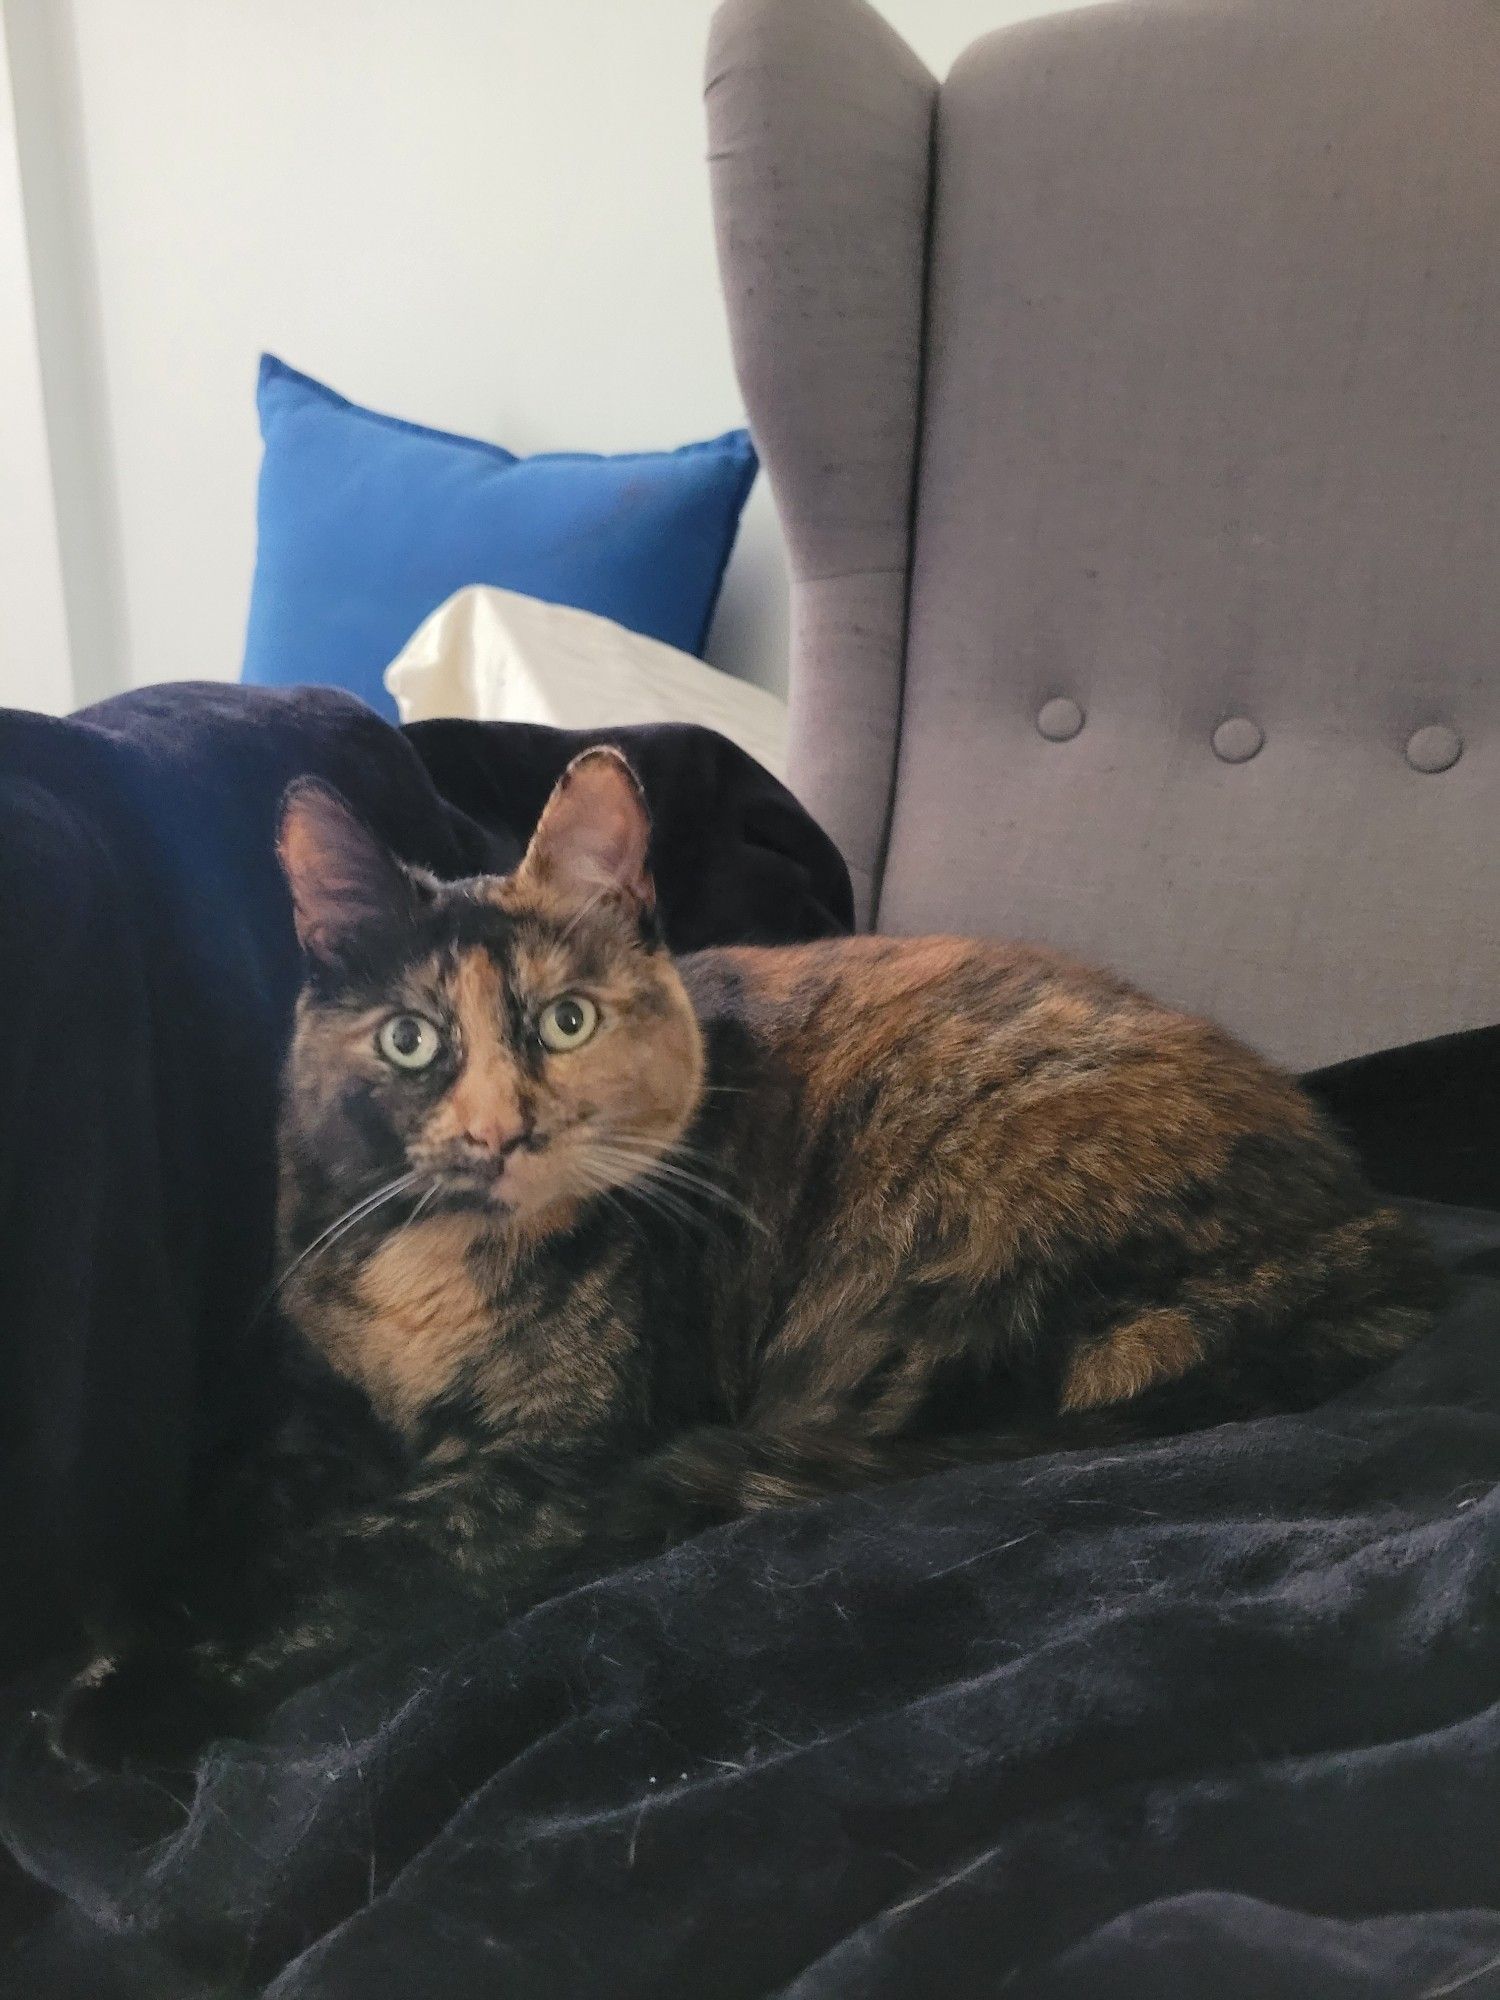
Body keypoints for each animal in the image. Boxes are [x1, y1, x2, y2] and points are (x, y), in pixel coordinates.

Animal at [55, 744, 1448, 1760]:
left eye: (566, 1021)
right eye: (410, 1040)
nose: (503, 1130)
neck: (430, 1284)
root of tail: (1368, 1233)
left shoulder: (551, 1466)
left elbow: (363, 1552)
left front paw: (132, 1699)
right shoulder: (308, 1414)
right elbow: (237, 1506)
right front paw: (130, 1621)